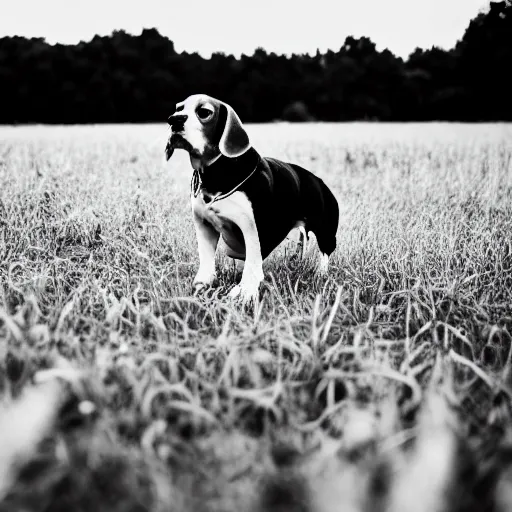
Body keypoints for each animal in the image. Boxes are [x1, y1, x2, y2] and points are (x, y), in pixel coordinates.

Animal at [165, 94, 340, 304]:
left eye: (204, 112)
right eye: (178, 108)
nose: (173, 120)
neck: (215, 173)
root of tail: (319, 181)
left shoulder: (252, 230)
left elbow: (252, 264)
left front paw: (246, 292)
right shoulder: (204, 225)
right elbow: (207, 261)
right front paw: (202, 286)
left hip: (325, 231)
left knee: (325, 253)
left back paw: (320, 274)